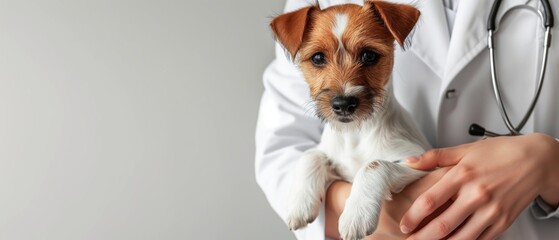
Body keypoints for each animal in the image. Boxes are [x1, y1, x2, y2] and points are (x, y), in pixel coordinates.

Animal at [272, 0, 434, 239]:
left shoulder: (422, 163)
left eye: (368, 55)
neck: (355, 134)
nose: (343, 104)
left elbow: (374, 165)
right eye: (318, 58)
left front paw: (357, 215)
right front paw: (299, 204)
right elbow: (311, 155)